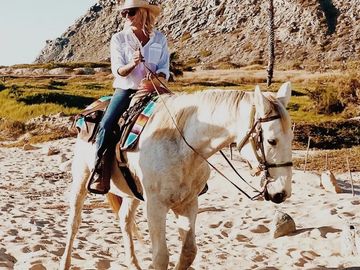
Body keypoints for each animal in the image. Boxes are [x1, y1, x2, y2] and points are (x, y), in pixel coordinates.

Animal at [60, 82, 294, 270]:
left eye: (291, 138)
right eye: (271, 140)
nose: (282, 193)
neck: (184, 146)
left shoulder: (188, 204)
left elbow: (188, 252)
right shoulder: (155, 206)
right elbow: (161, 257)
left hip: (132, 192)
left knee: (125, 219)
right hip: (81, 179)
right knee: (74, 223)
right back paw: (66, 262)